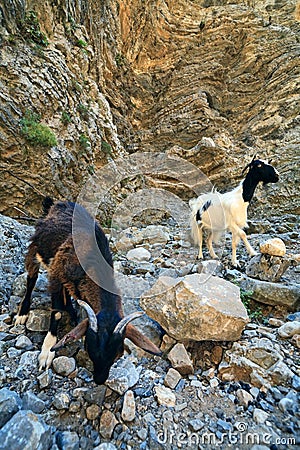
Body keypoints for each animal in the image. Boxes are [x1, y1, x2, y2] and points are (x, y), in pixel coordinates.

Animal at [15, 199, 162, 384]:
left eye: (117, 355)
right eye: (90, 352)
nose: (99, 380)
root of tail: (58, 203)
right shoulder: (56, 275)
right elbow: (56, 311)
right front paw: (47, 352)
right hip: (35, 250)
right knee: (31, 279)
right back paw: (23, 313)